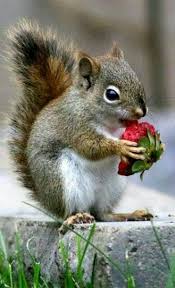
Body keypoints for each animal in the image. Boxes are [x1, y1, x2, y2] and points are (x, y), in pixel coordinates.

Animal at [7, 20, 152, 226]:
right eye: (111, 94)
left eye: (137, 80)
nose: (141, 111)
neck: (108, 125)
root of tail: (46, 199)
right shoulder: (74, 124)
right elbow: (90, 146)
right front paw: (122, 147)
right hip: (62, 180)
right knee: (68, 212)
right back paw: (75, 217)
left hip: (114, 186)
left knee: (102, 214)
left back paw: (128, 214)